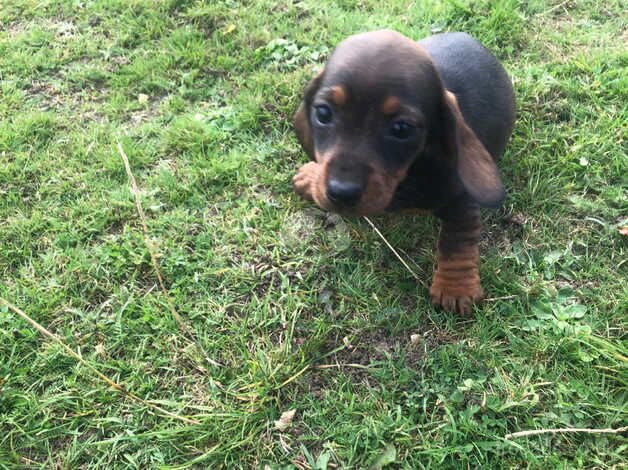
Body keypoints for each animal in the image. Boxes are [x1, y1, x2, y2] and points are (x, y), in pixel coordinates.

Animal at [294, 30, 516, 316]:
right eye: (322, 112)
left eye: (402, 129)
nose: (341, 192)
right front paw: (310, 176)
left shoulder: (461, 201)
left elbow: (457, 241)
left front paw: (456, 288)